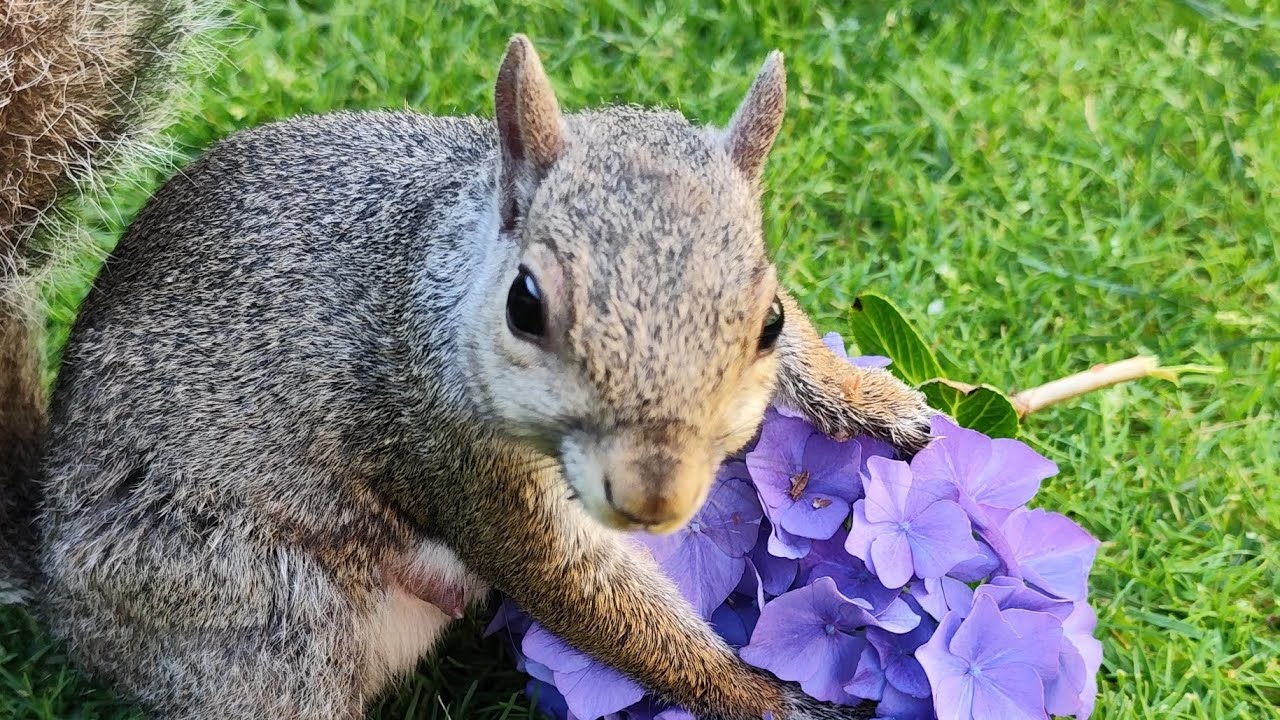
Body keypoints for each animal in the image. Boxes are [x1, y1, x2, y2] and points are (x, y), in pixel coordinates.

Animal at [2, 2, 936, 718]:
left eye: (769, 318)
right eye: (527, 305)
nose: (654, 504)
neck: (449, 271)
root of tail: (50, 576)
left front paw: (875, 401)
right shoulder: (459, 457)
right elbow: (581, 592)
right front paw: (761, 696)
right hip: (253, 618)